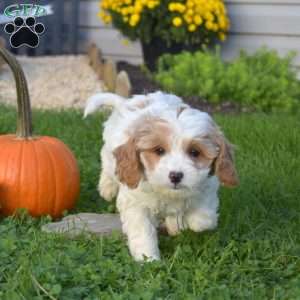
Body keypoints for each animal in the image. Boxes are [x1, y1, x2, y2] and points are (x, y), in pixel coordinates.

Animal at [83, 92, 238, 262]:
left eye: (194, 152)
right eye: (159, 150)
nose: (175, 175)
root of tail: (126, 102)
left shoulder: (208, 187)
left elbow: (204, 219)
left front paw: (183, 222)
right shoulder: (136, 203)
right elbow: (143, 231)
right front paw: (148, 259)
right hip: (111, 156)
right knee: (109, 168)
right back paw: (107, 188)